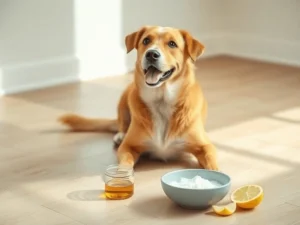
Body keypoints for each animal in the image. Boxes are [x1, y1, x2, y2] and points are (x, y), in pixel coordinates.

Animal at [58, 25, 218, 171]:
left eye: (172, 44)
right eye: (146, 40)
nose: (151, 54)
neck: (162, 101)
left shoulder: (205, 146)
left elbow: (212, 163)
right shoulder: (128, 147)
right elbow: (125, 163)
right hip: (125, 96)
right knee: (122, 123)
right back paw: (120, 135)